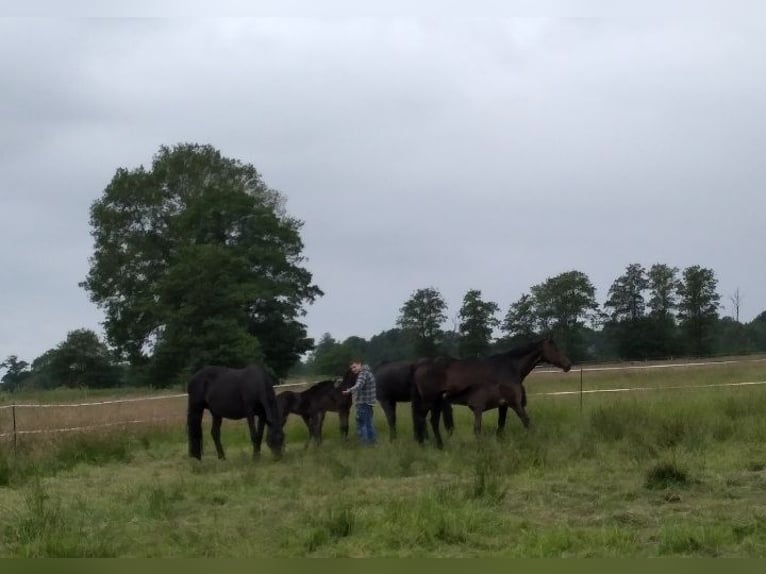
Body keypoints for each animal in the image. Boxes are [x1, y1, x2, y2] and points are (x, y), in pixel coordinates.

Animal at [414, 340, 568, 448]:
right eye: (555, 348)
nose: (568, 364)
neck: (510, 367)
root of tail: (419, 367)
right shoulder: (512, 403)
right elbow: (524, 422)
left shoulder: (503, 404)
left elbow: (501, 425)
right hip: (429, 401)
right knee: (421, 419)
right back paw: (425, 445)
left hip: (437, 402)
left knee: (432, 421)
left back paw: (439, 445)